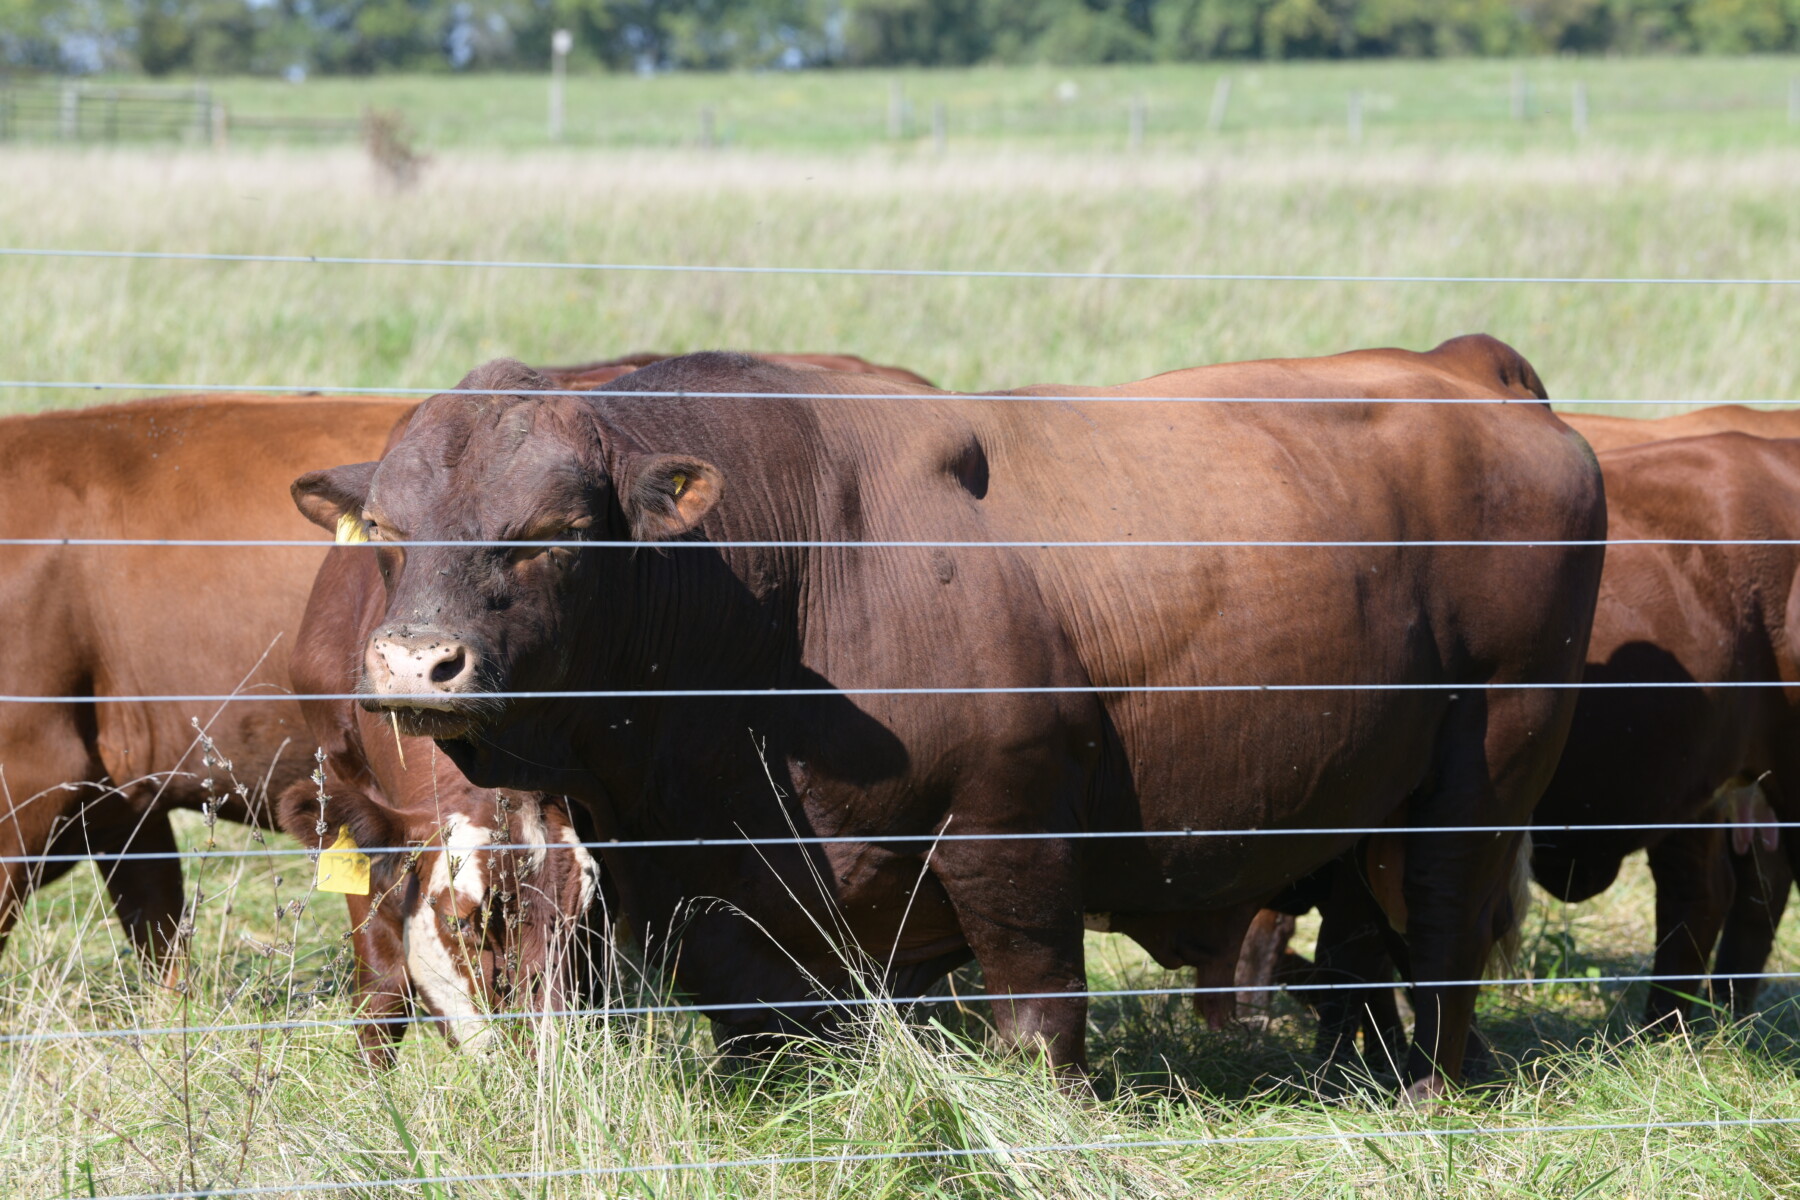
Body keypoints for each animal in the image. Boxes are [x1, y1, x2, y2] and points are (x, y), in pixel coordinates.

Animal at [291, 333, 1603, 1096]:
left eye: (554, 534)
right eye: (390, 532)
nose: (414, 664)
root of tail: (1474, 376)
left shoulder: (1008, 826)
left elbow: (1036, 1009)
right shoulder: (715, 885)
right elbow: (755, 1023)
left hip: (1482, 771)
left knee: (1444, 932)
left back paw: (1429, 1086)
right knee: (1364, 949)